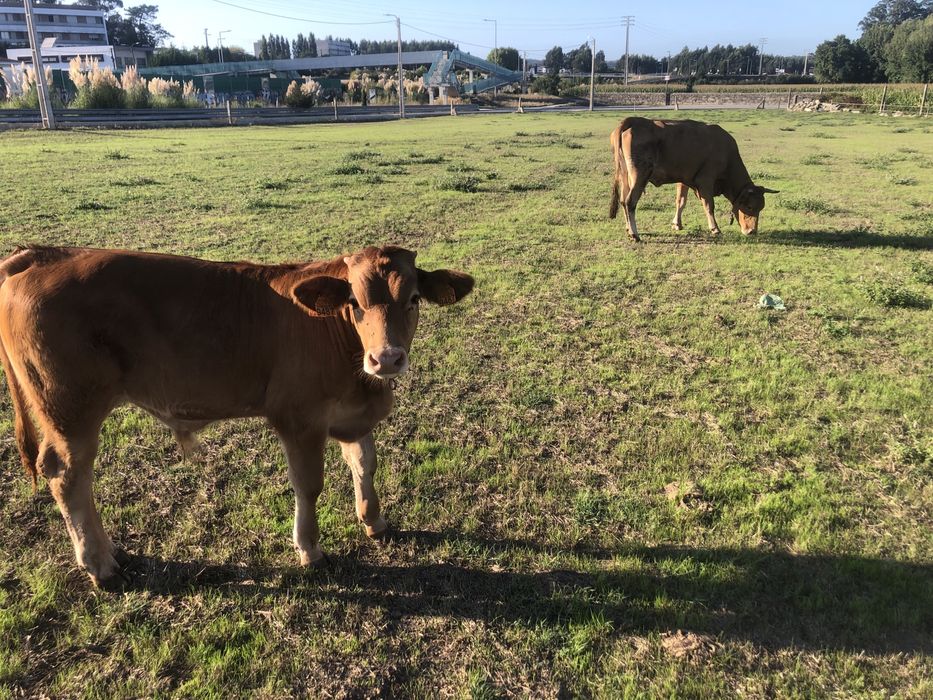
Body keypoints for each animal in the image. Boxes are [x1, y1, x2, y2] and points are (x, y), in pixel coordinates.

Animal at [0, 245, 474, 588]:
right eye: (355, 302)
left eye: (414, 299)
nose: (387, 358)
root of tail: (42, 255)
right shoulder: (299, 419)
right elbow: (309, 485)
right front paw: (310, 549)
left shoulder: (352, 414)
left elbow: (364, 464)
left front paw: (374, 520)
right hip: (70, 412)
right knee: (67, 476)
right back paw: (100, 564)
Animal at [609, 117, 778, 242]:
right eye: (749, 207)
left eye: (760, 208)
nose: (752, 231)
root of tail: (634, 121)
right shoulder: (706, 180)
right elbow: (709, 205)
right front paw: (715, 228)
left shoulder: (683, 179)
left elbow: (681, 202)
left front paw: (677, 224)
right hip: (639, 176)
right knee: (630, 202)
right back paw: (634, 234)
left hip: (626, 176)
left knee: (623, 200)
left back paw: (628, 228)